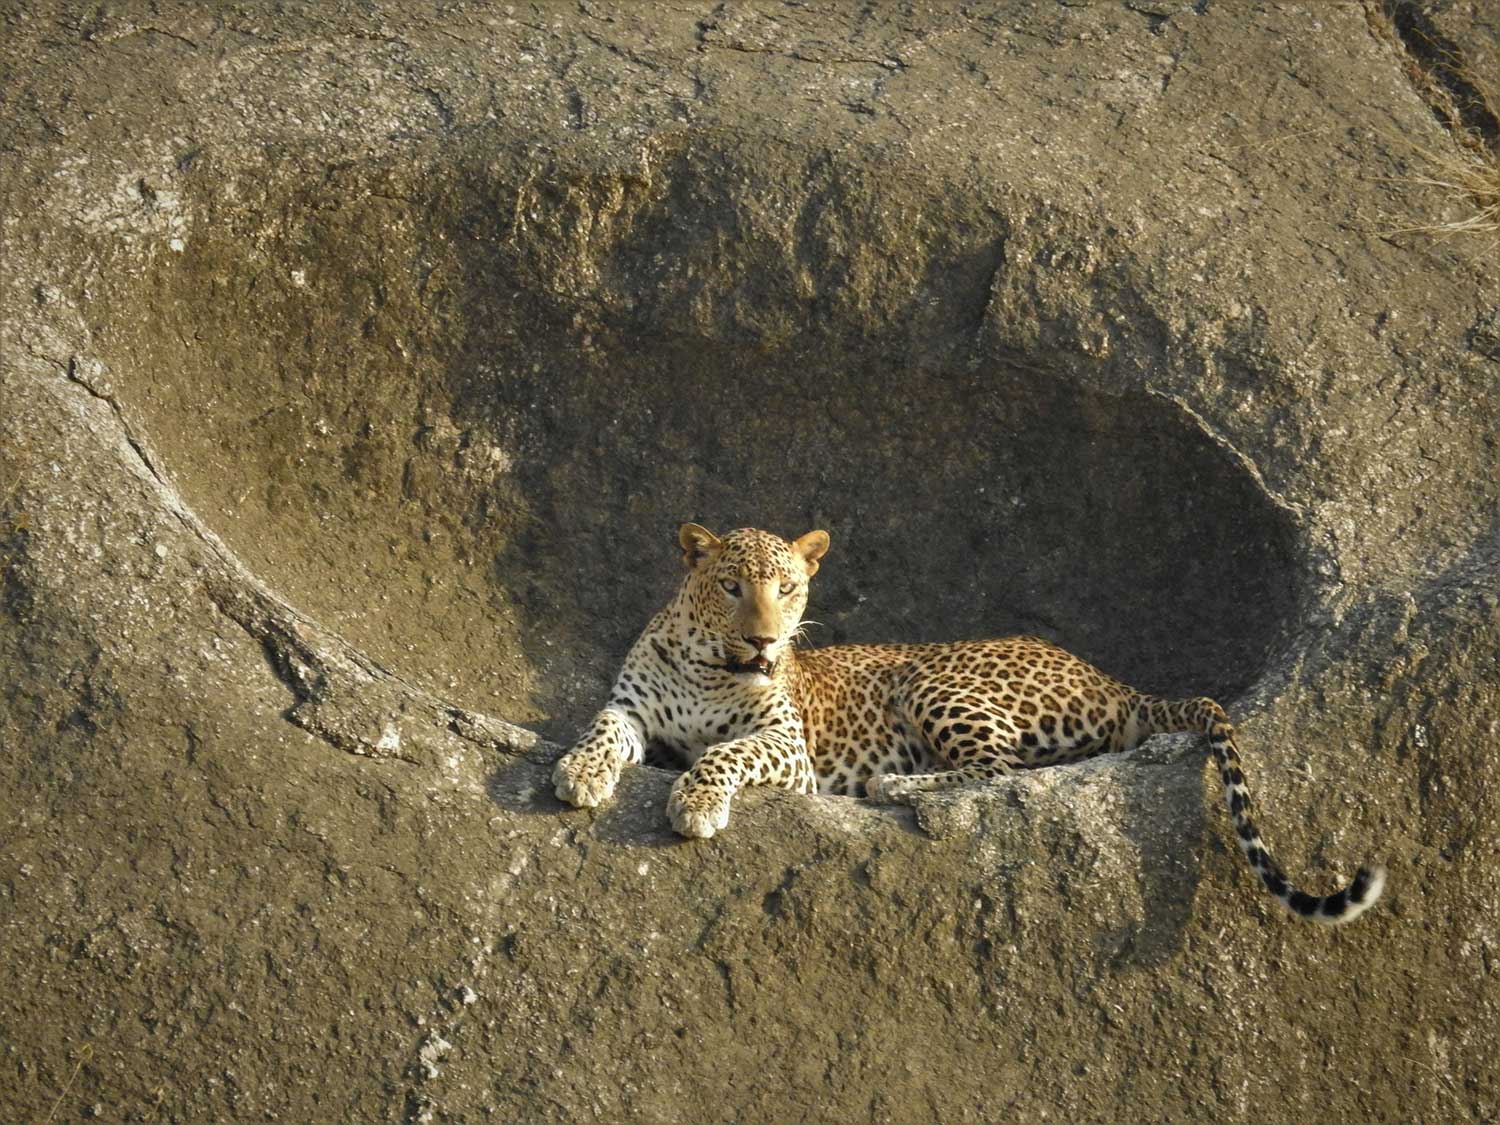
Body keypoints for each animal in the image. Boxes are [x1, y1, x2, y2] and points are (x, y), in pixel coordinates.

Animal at [558, 522, 1386, 924]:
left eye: (788, 588)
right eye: (732, 586)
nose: (765, 640)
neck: (711, 666)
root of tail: (1114, 680)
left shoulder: (788, 746)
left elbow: (723, 754)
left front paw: (697, 801)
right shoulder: (631, 705)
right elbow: (601, 726)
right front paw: (578, 771)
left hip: (934, 681)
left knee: (1000, 773)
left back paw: (897, 785)